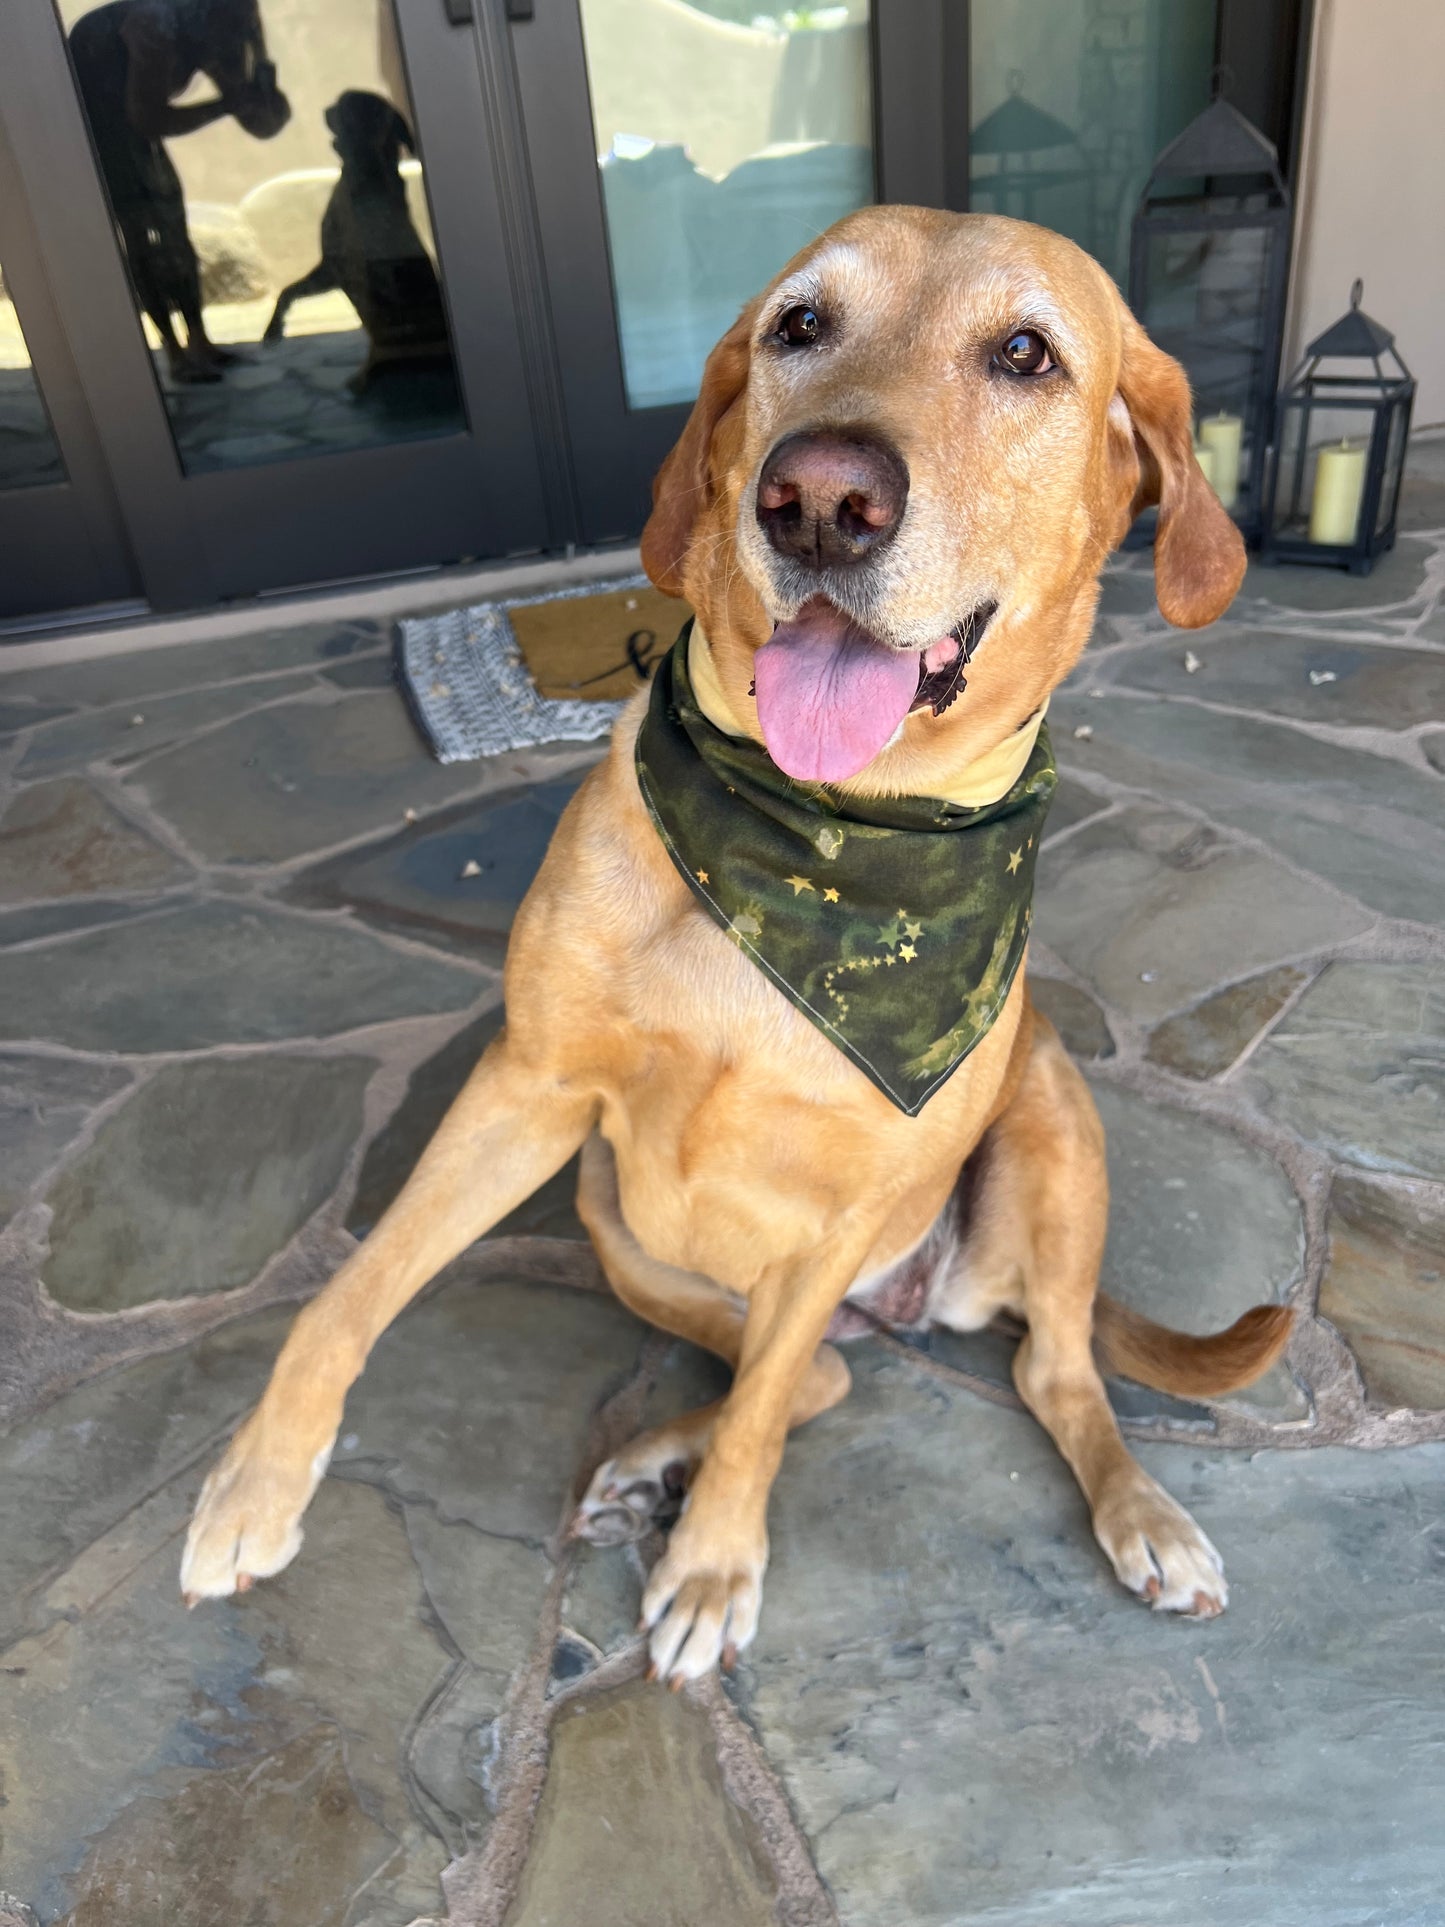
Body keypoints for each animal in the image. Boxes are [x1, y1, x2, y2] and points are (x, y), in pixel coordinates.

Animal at [186, 211, 1294, 1688]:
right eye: (799, 327)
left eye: (1024, 353)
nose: (820, 496)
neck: (821, 834)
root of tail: (906, 1303)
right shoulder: (525, 1089)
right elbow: (354, 1287)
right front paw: (258, 1477)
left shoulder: (837, 1215)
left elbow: (763, 1410)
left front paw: (713, 1564)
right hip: (615, 1220)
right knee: (823, 1369)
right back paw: (653, 1455)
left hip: (1050, 1130)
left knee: (1032, 1371)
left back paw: (1142, 1514)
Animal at [263, 89, 450, 391]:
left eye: (346, 105)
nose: (326, 108)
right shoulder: (329, 270)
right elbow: (287, 291)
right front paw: (273, 329)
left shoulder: (339, 268)